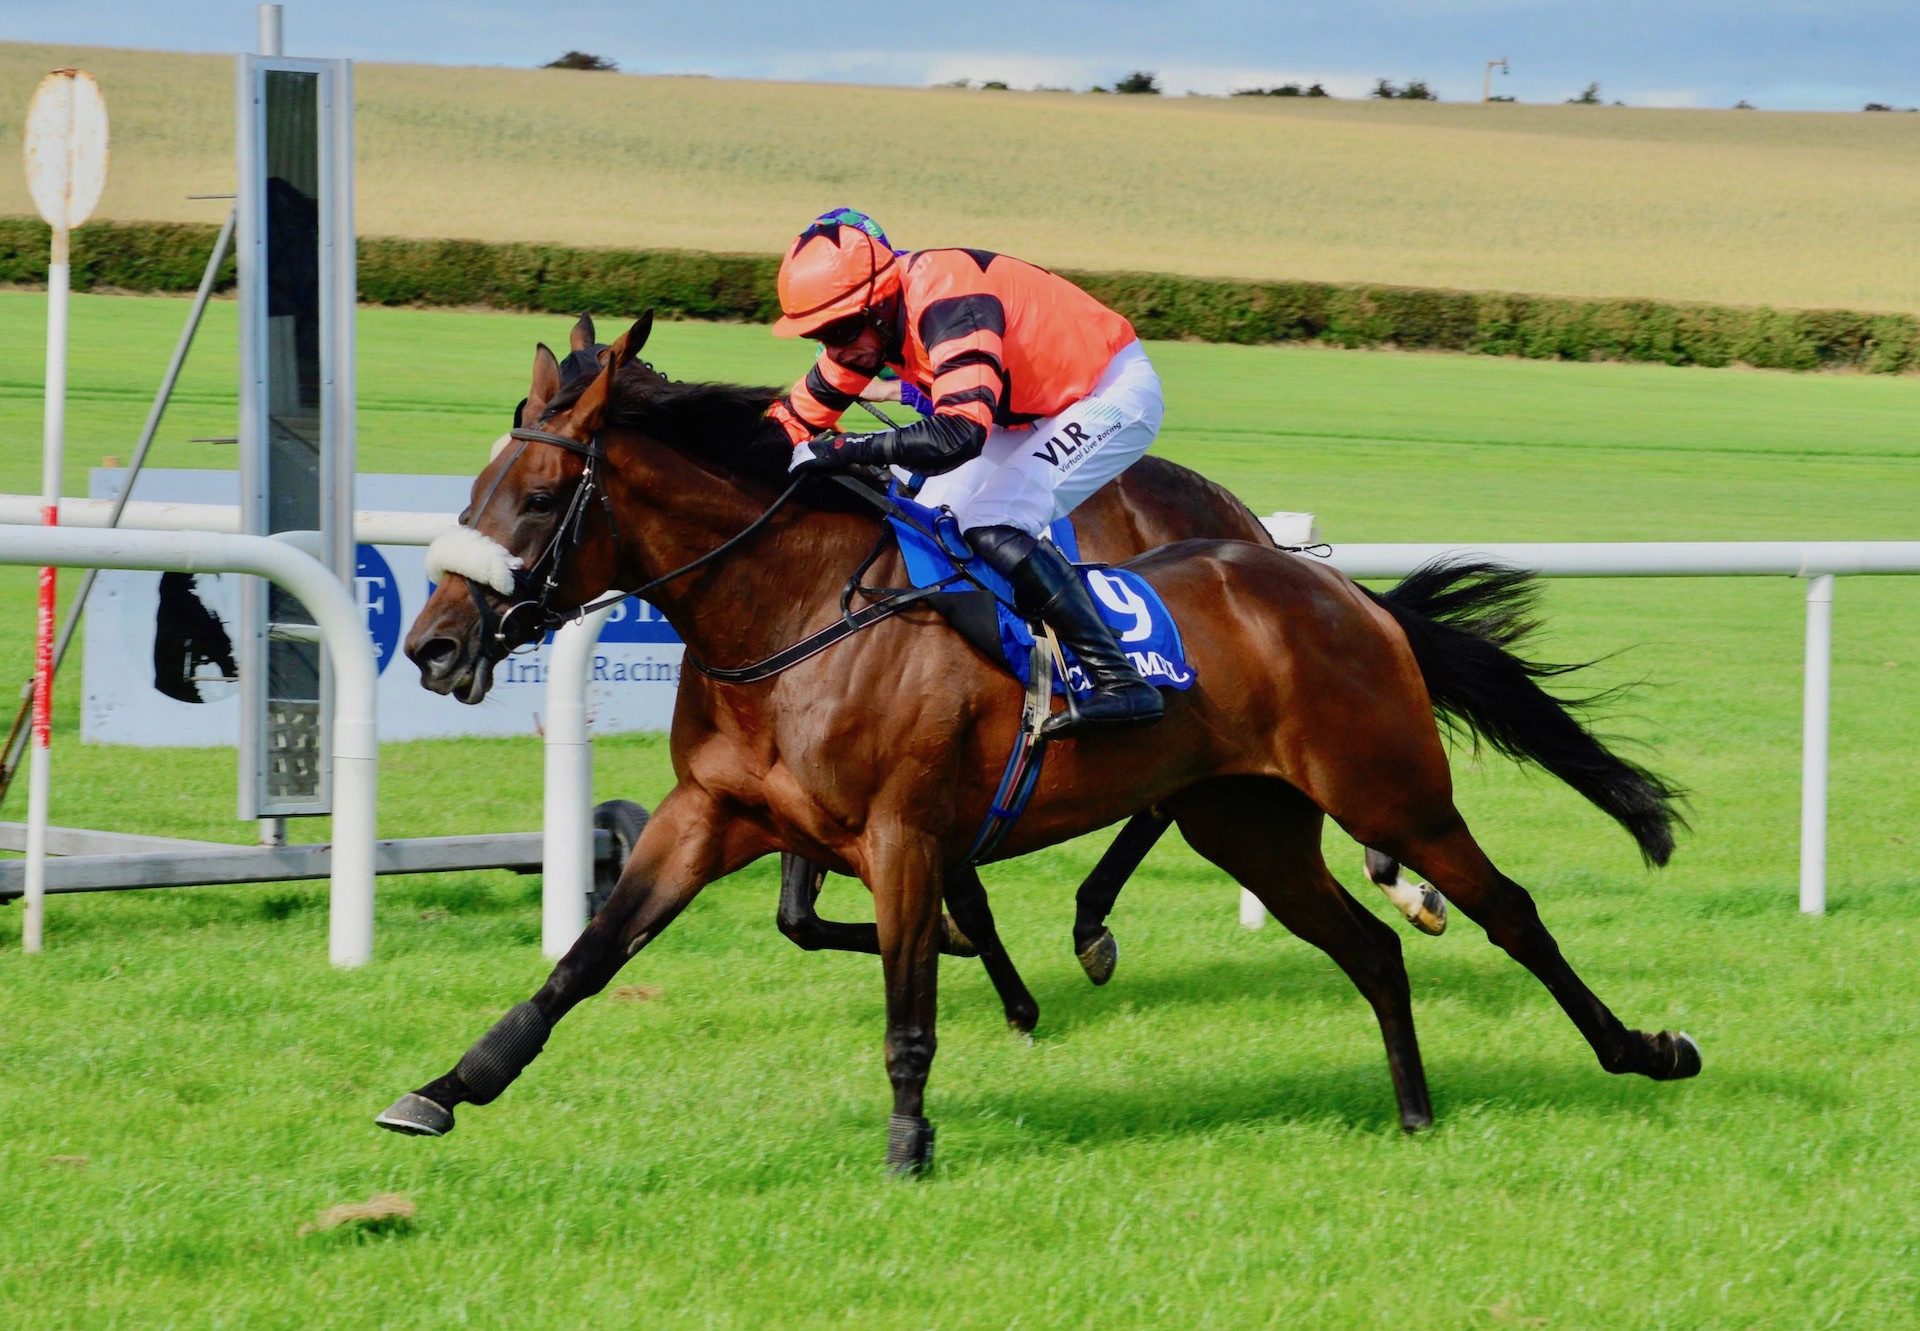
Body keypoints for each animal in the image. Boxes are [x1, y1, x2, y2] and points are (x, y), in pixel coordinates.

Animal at [382, 316, 1704, 1167]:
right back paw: (1416, 1109)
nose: (434, 645)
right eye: (476, 487)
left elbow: (910, 998)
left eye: (539, 498)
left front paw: (911, 1142)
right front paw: (445, 1088)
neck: (790, 613)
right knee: (1370, 949)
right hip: (1251, 821)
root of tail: (1340, 591)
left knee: (1506, 908)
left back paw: (1643, 1047)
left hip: (1389, 787)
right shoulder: (714, 815)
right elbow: (582, 963)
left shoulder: (904, 832)